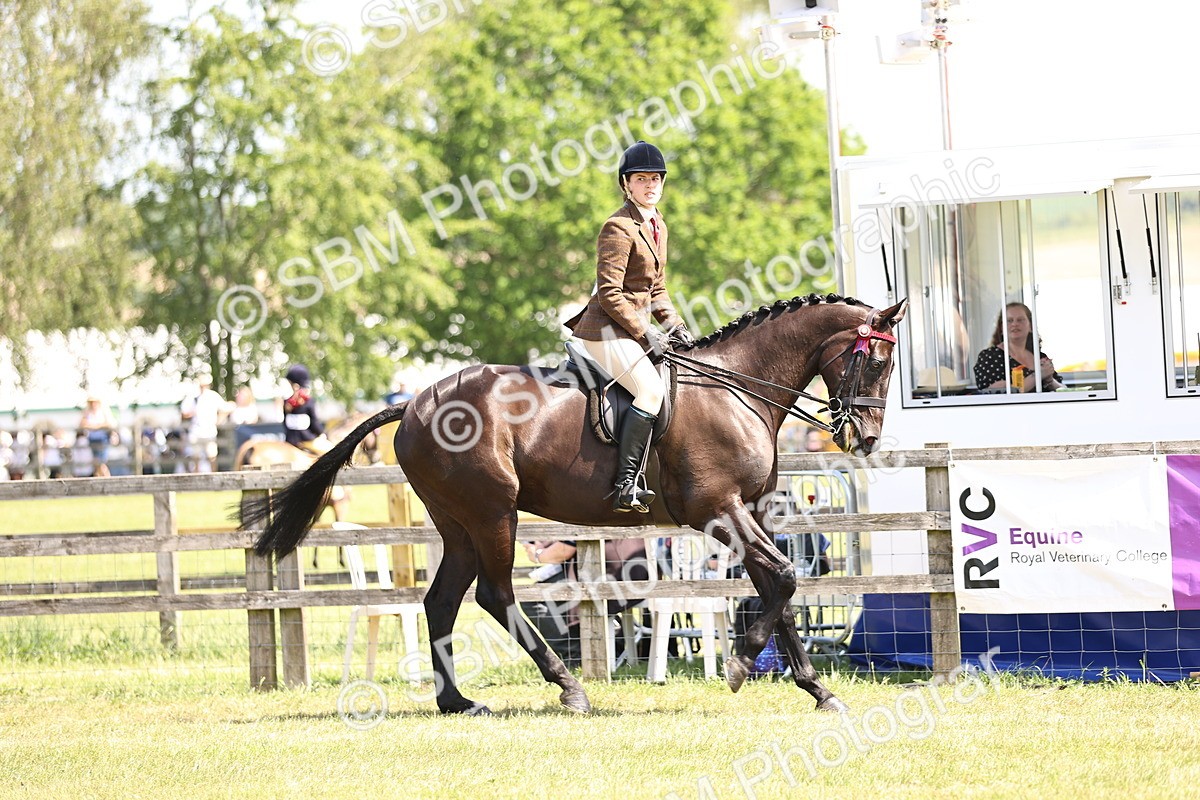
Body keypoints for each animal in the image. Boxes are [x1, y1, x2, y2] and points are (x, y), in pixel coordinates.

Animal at [244, 293, 907, 715]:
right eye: (876, 360)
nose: (865, 439)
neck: (736, 388)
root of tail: (411, 404)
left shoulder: (753, 510)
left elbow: (780, 586)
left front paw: (816, 689)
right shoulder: (717, 510)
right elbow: (784, 578)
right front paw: (743, 665)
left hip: (458, 523)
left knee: (442, 601)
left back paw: (456, 702)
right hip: (494, 514)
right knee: (495, 595)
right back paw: (569, 689)